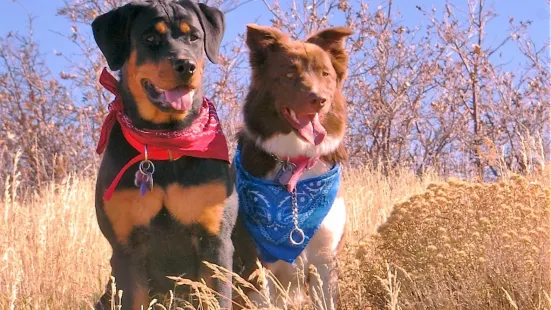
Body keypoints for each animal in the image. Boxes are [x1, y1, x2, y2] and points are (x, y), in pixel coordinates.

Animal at [91, 1, 237, 308]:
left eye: (193, 37)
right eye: (150, 38)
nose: (186, 65)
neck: (164, 143)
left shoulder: (215, 239)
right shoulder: (127, 246)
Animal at [232, 24, 354, 310]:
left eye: (325, 74)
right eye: (289, 74)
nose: (318, 99)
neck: (296, 162)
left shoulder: (325, 259)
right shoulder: (255, 263)